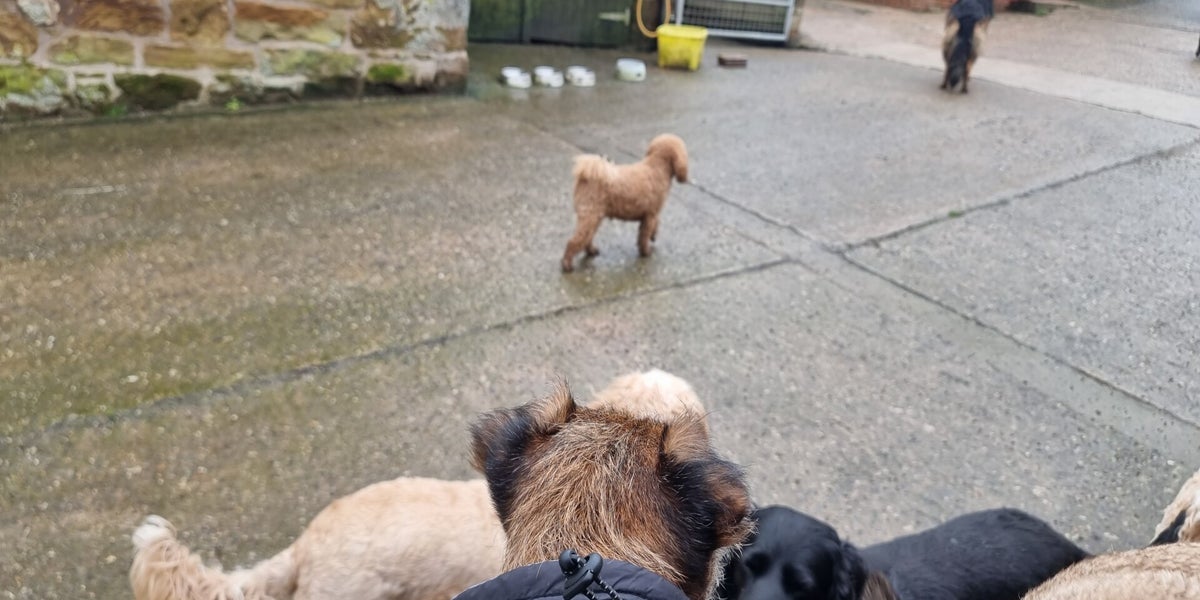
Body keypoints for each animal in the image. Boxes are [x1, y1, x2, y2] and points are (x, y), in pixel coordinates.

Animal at [561, 134, 689, 272]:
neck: (656, 167)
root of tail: (585, 177)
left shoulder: (651, 214)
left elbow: (652, 227)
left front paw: (653, 236)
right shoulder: (650, 215)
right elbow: (644, 235)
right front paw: (645, 252)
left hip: (594, 217)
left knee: (587, 237)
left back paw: (591, 251)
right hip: (590, 215)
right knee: (574, 241)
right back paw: (567, 264)